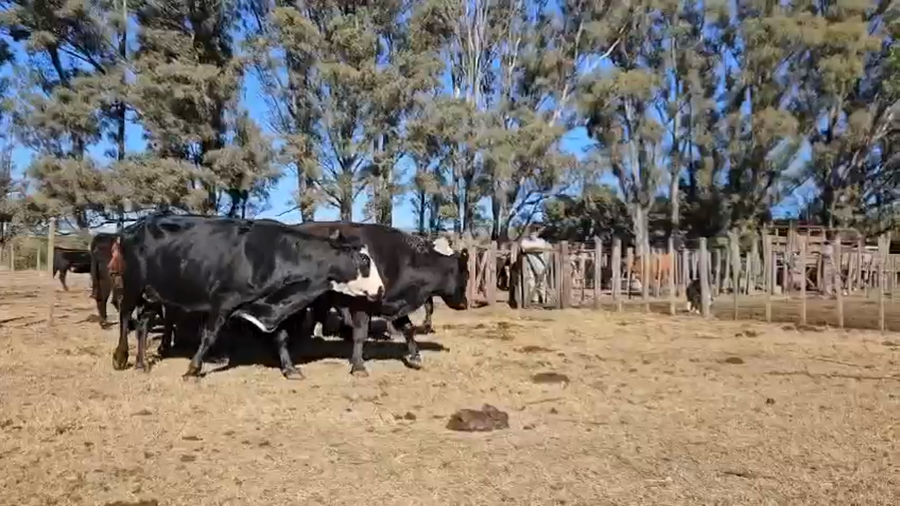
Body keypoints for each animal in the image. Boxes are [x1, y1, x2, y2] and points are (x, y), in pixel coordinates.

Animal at [109, 214, 385, 379]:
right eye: (364, 259)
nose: (381, 289)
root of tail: (134, 227)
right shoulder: (223, 300)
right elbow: (209, 335)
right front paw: (193, 369)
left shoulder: (272, 305)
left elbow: (281, 338)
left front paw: (290, 369)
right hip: (133, 285)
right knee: (125, 317)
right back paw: (121, 357)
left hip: (155, 294)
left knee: (143, 323)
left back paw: (142, 363)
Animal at [293, 222, 469, 376]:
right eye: (466, 275)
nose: (464, 303)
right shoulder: (362, 303)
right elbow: (360, 334)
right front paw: (358, 366)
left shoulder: (392, 303)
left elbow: (408, 328)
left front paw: (415, 357)